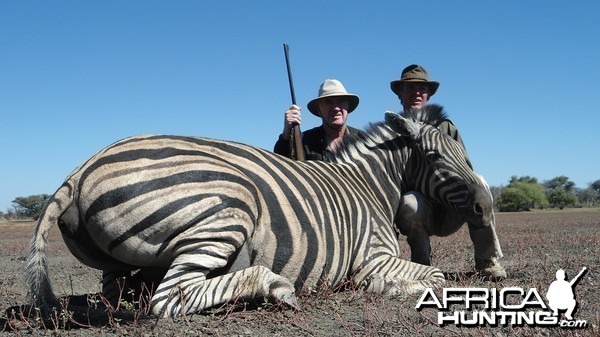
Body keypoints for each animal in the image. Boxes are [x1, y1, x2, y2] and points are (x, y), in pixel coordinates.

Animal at [27, 111, 492, 318]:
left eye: (467, 155)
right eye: (435, 157)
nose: (485, 205)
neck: (369, 184)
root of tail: (81, 169)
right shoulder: (372, 256)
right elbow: (434, 275)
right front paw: (388, 287)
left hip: (120, 264)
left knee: (122, 292)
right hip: (229, 207)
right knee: (169, 298)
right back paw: (274, 286)